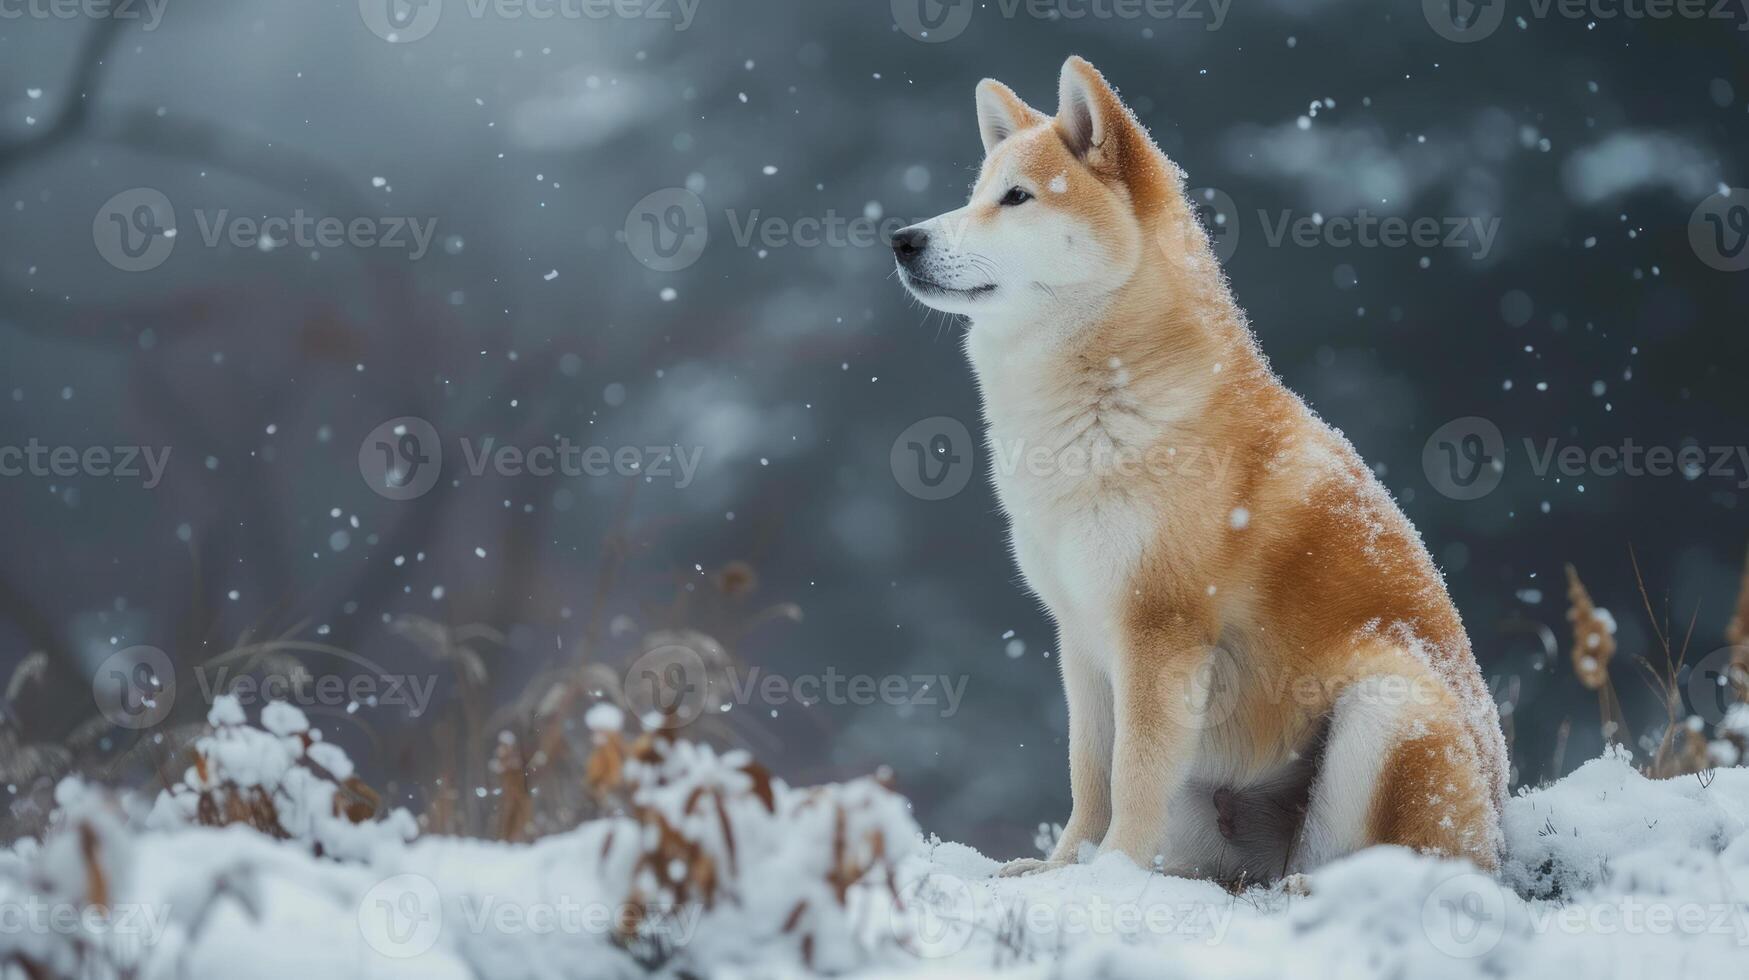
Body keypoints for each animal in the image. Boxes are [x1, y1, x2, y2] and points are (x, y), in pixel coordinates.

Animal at [895, 55, 1511, 882]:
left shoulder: (1159, 630)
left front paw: (1111, 874)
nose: (902, 239)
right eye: (974, 192)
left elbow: (1131, 781)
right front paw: (1061, 868)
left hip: (1389, 708)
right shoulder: (1079, 636)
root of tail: (1504, 837)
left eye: (1016, 197)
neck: (1092, 416)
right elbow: (1089, 776)